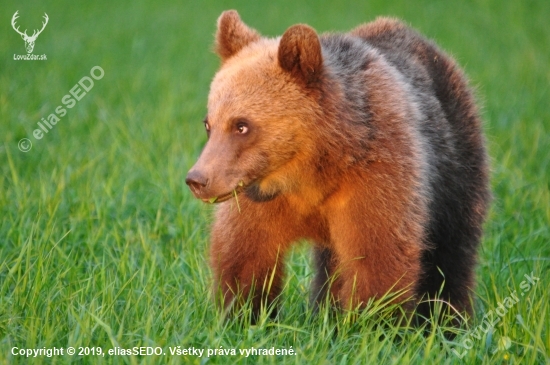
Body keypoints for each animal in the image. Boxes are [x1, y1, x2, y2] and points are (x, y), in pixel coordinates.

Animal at [187, 9, 492, 322]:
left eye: (241, 125)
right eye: (209, 124)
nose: (197, 179)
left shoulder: (377, 174)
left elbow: (378, 255)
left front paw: (373, 321)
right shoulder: (258, 194)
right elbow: (246, 254)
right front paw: (243, 314)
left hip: (455, 160)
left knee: (452, 251)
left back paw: (449, 318)